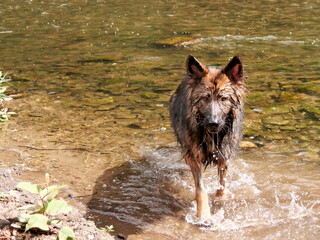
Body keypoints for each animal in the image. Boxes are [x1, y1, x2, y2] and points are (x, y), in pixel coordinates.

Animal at [170, 54, 248, 219]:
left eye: (223, 99)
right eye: (205, 98)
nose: (213, 123)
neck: (212, 136)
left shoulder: (224, 156)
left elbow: (222, 186)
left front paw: (220, 201)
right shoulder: (193, 157)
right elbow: (201, 189)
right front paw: (204, 214)